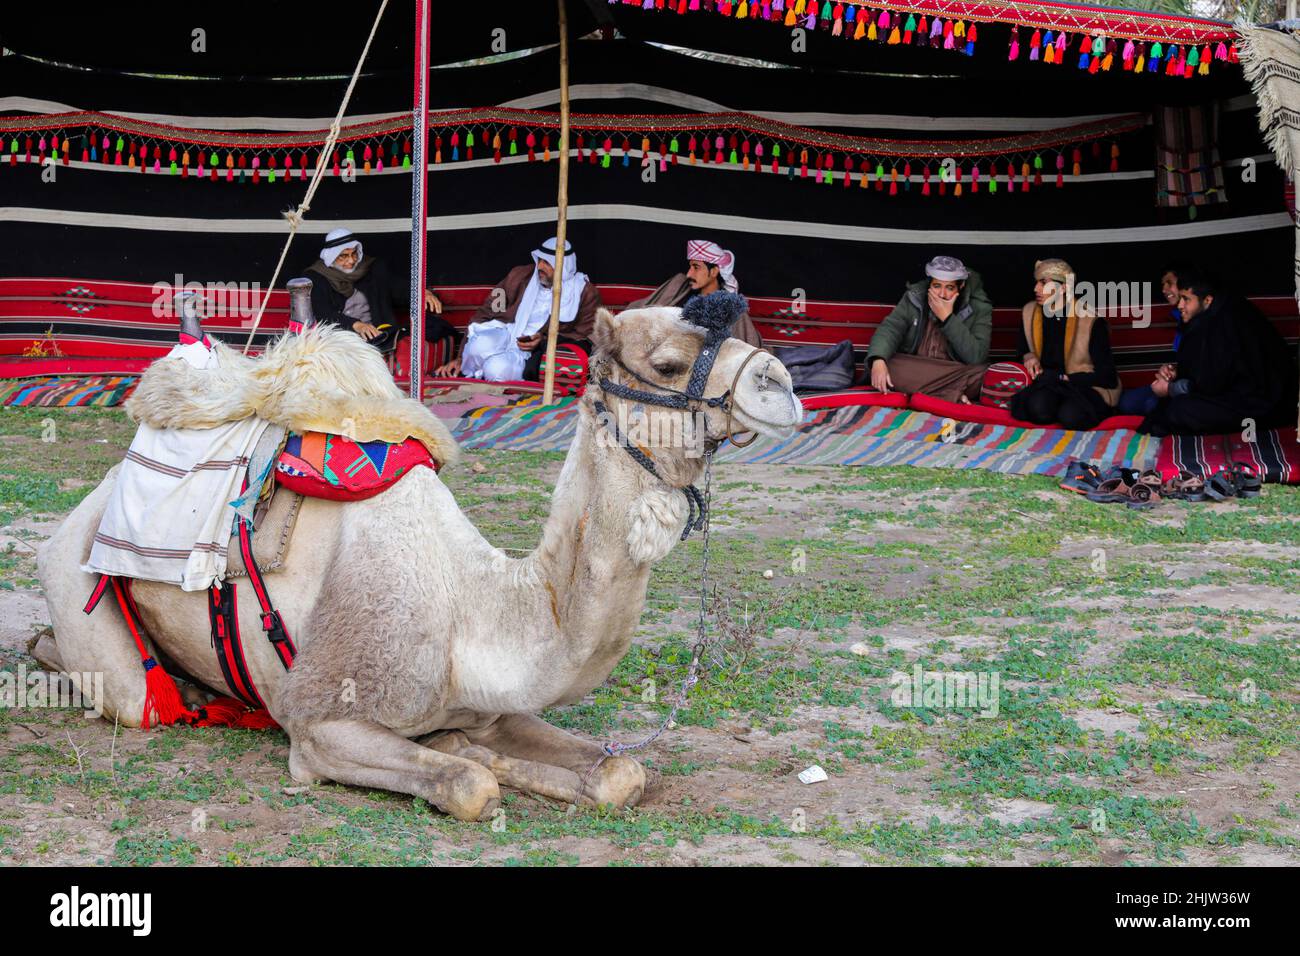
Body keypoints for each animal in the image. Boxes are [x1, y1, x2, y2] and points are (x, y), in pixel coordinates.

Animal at [32, 293, 800, 822]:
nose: (782, 383)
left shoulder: (491, 706)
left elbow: (619, 775)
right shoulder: (320, 724)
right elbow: (471, 784)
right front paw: (470, 762)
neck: (472, 608)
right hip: (83, 593)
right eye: (666, 362)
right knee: (119, 688)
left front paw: (483, 751)